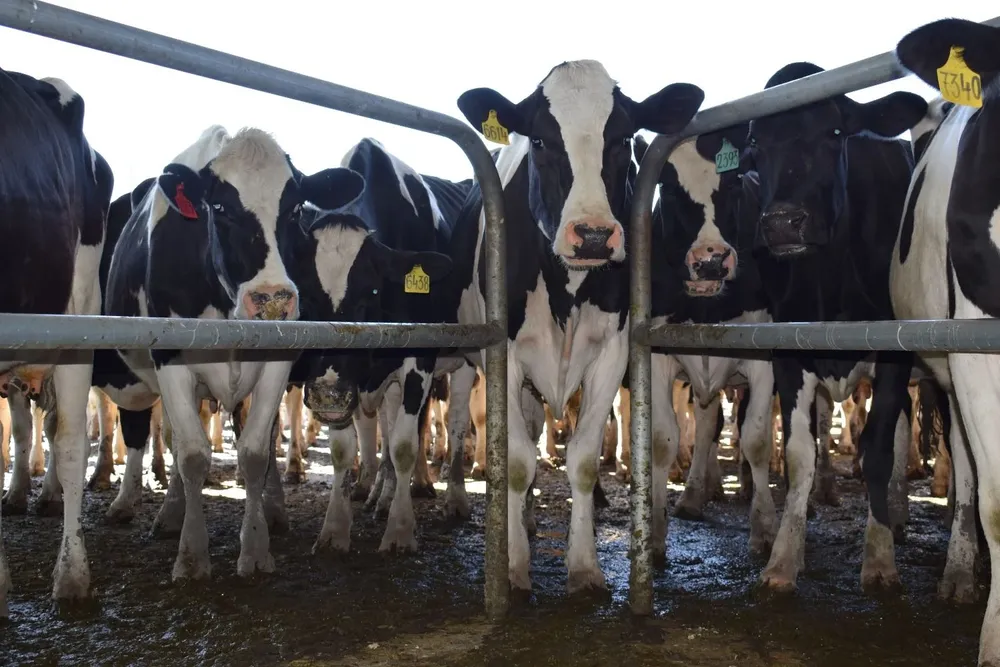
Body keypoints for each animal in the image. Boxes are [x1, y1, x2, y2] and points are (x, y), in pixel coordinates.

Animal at [104, 124, 365, 580]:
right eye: (220, 206)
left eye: (296, 208)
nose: (272, 298)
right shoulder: (170, 359)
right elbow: (192, 454)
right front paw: (192, 554)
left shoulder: (278, 358)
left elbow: (256, 452)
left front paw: (256, 547)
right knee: (174, 438)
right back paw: (169, 514)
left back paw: (273, 509)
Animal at [452, 60, 704, 592]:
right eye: (540, 140)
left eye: (624, 138)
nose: (592, 234)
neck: (565, 289)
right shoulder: (504, 355)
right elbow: (517, 460)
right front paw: (513, 566)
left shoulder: (612, 352)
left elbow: (585, 461)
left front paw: (584, 566)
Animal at [744, 61, 927, 594]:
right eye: (756, 143)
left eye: (834, 132)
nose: (782, 223)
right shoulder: (787, 346)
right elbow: (800, 452)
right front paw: (784, 558)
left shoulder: (895, 347)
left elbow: (878, 448)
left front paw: (880, 558)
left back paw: (897, 514)